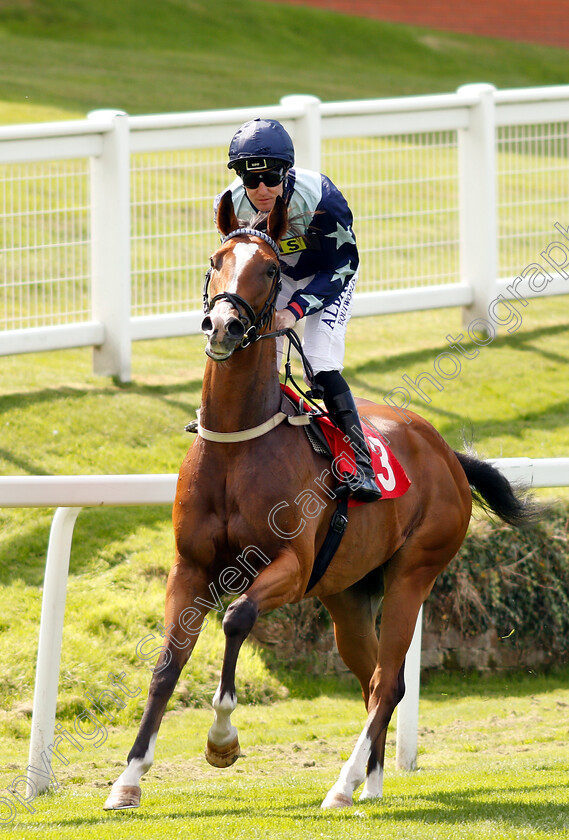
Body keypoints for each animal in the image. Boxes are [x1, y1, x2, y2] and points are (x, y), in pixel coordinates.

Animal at [105, 194, 532, 812]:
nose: (224, 325)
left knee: (388, 680)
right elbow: (166, 665)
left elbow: (237, 618)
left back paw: (344, 784)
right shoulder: (189, 568)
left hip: (413, 573)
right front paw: (128, 778)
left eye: (269, 271)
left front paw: (222, 740)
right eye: (215, 260)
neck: (237, 444)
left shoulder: (290, 565)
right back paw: (371, 781)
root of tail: (446, 452)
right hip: (346, 595)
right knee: (374, 677)